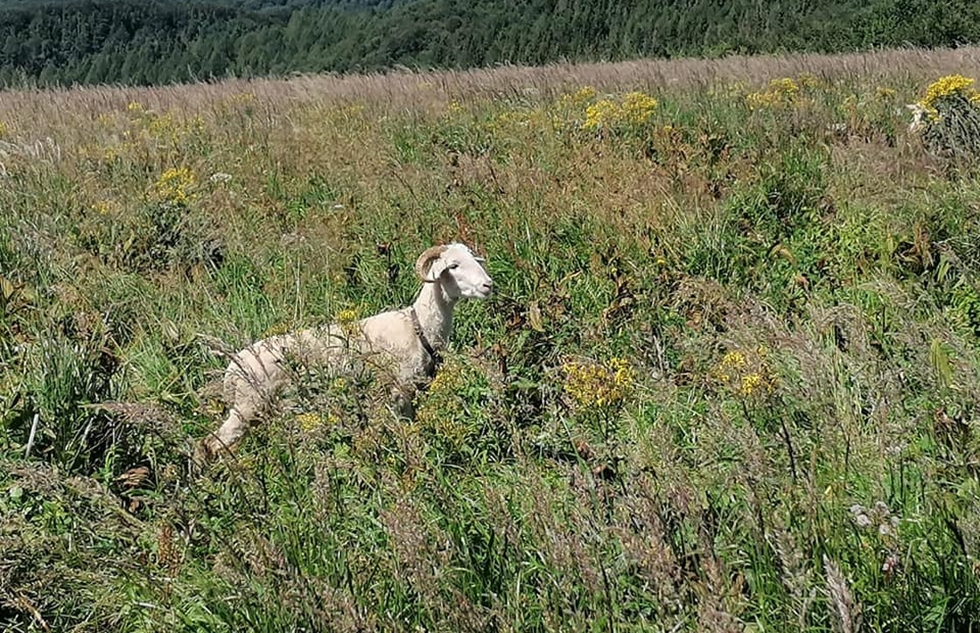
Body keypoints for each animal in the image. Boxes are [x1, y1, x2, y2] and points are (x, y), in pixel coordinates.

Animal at [196, 242, 494, 460]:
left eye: (473, 259)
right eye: (453, 266)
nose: (488, 285)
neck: (418, 326)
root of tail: (232, 367)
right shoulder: (399, 391)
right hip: (247, 405)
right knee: (210, 444)